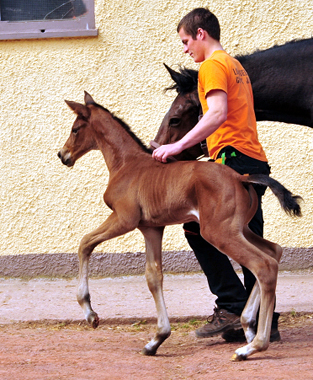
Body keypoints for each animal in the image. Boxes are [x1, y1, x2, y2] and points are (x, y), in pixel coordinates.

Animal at [58, 93, 300, 360]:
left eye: (75, 129)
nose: (62, 155)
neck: (126, 164)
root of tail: (241, 177)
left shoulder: (124, 218)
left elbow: (84, 244)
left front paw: (90, 313)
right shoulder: (151, 228)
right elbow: (153, 276)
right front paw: (156, 340)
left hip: (218, 232)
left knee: (263, 265)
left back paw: (253, 346)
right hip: (240, 229)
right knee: (274, 251)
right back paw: (247, 326)